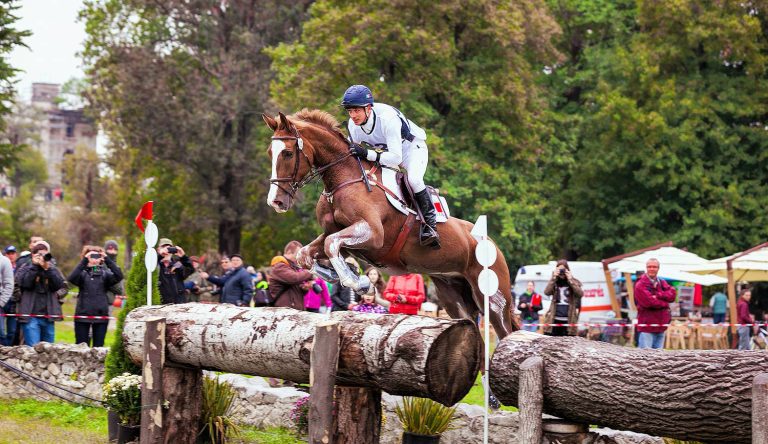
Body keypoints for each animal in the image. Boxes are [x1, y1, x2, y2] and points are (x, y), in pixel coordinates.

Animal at [263, 109, 519, 339]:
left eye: (287, 153)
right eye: (269, 152)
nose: (276, 201)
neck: (343, 180)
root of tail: (491, 243)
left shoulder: (372, 234)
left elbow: (331, 245)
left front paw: (361, 284)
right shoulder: (335, 234)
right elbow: (306, 254)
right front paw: (342, 276)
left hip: (492, 297)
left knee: (505, 331)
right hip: (453, 295)